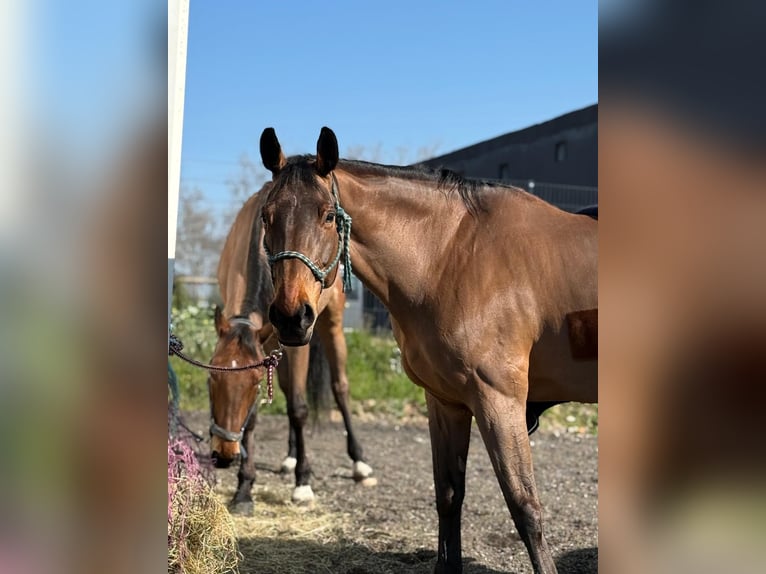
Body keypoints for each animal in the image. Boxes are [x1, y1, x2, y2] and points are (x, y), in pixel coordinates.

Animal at [208, 183, 373, 513]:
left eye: (253, 384)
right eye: (212, 378)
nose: (224, 454)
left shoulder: (294, 341)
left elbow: (298, 408)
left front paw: (303, 482)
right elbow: (256, 416)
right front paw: (244, 487)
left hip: (331, 324)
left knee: (339, 387)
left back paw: (358, 462)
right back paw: (290, 457)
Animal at [256, 127, 597, 574]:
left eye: (327, 216)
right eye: (266, 216)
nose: (291, 317)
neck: (451, 257)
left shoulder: (499, 402)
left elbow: (526, 508)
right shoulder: (446, 402)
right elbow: (449, 497)